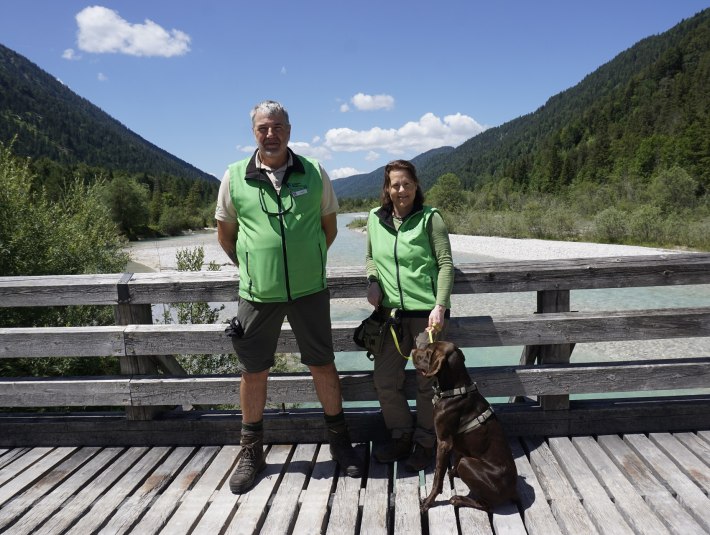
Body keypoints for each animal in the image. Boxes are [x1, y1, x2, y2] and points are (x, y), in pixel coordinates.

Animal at [412, 342, 516, 512]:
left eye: (428, 351)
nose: (412, 351)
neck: (455, 390)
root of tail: (513, 491)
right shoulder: (456, 445)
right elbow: (453, 461)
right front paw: (452, 473)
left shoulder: (444, 442)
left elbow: (437, 478)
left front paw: (428, 501)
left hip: (467, 464)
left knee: (486, 505)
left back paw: (458, 499)